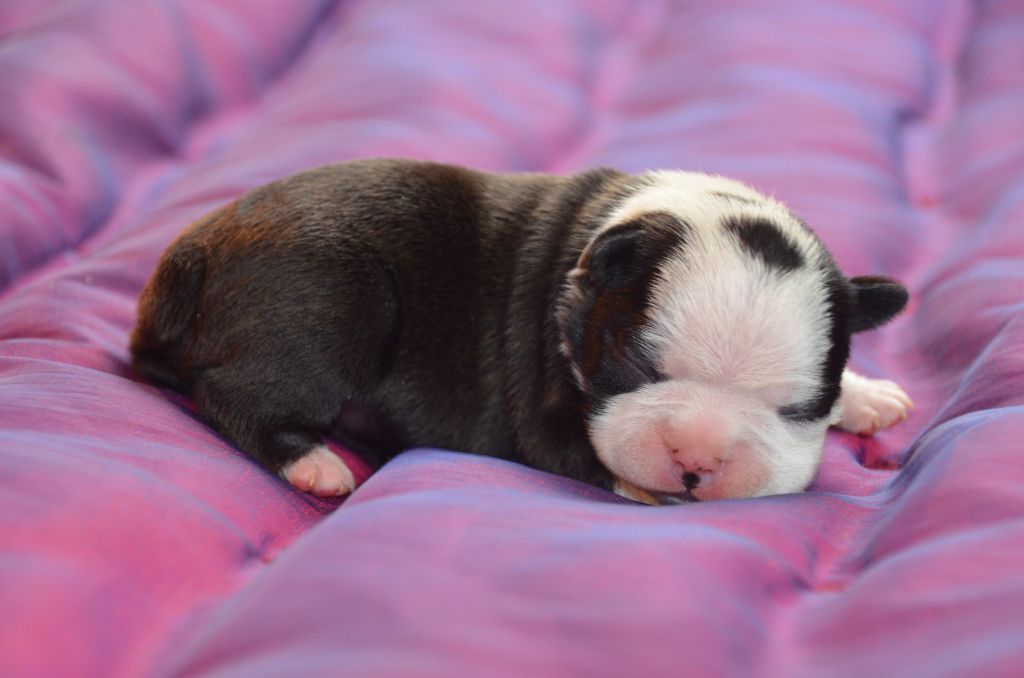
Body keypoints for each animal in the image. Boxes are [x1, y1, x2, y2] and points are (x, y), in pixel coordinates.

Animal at [130, 159, 913, 507]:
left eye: (797, 410)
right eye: (639, 370)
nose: (699, 460)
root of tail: (193, 250)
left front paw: (867, 395)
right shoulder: (545, 411)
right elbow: (598, 460)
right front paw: (654, 491)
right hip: (338, 301)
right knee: (233, 394)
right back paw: (314, 462)